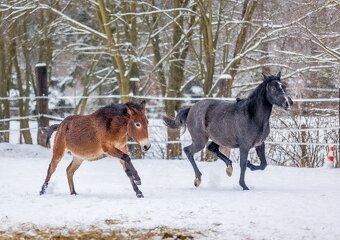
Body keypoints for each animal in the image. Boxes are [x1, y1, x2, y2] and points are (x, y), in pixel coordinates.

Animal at [164, 72, 292, 190]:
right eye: (273, 88)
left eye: (283, 86)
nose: (288, 102)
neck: (252, 116)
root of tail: (191, 108)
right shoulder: (244, 146)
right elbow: (243, 164)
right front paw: (244, 186)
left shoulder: (260, 144)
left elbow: (263, 165)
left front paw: (250, 165)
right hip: (200, 140)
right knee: (188, 151)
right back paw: (198, 179)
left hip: (218, 138)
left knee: (212, 148)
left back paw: (229, 168)